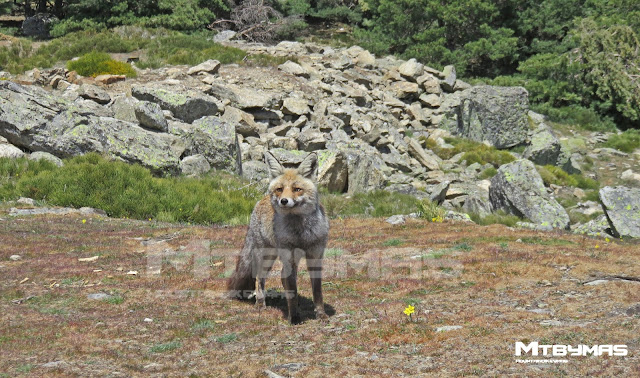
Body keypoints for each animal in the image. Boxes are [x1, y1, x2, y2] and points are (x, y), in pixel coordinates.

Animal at [228, 152, 330, 324]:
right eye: (280, 189)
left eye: (297, 189)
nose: (284, 201)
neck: (300, 233)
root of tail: (261, 199)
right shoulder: (289, 257)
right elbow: (292, 290)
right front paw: (294, 317)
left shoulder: (315, 256)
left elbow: (317, 292)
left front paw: (321, 314)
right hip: (266, 256)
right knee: (259, 278)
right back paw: (260, 303)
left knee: (282, 277)